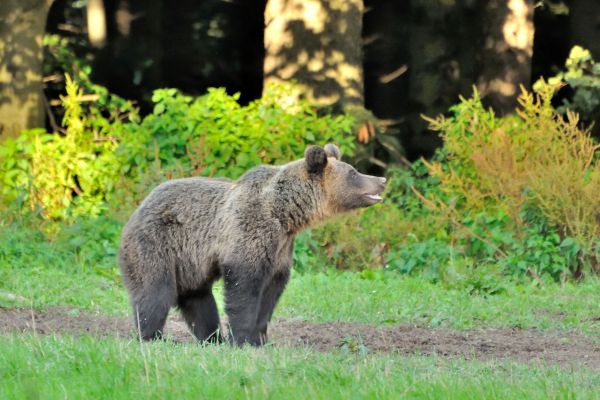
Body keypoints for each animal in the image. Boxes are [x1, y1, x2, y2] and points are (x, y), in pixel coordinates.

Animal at [119, 142, 386, 346]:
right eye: (353, 173)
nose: (382, 179)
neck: (285, 214)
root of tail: (136, 211)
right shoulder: (250, 233)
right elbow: (244, 288)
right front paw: (243, 339)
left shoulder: (280, 249)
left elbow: (270, 294)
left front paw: (261, 339)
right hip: (156, 243)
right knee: (155, 293)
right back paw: (153, 337)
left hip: (189, 263)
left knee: (199, 301)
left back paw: (212, 339)